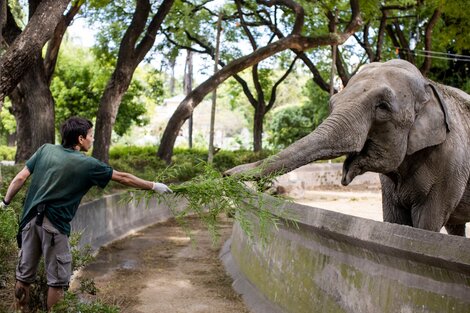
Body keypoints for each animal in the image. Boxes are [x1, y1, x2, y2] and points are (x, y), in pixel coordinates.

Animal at [225, 58, 470, 235]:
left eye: (382, 107)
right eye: (332, 103)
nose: (227, 174)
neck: (430, 84)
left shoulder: (450, 168)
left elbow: (427, 223)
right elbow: (395, 220)